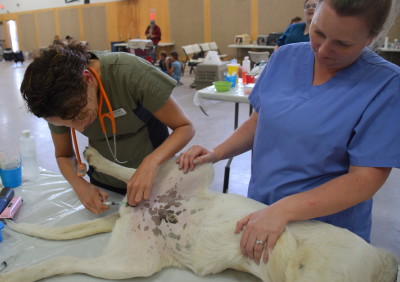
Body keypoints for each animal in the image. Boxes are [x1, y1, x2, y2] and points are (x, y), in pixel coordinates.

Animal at [0, 148, 396, 282]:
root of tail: (134, 209)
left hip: (131, 261)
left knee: (63, 261)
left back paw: (18, 273)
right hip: (197, 165)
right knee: (139, 169)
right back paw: (96, 156)